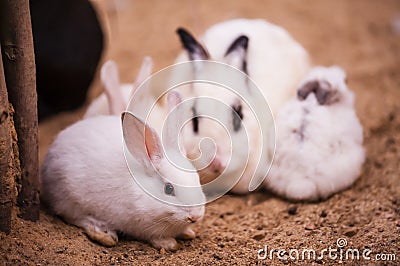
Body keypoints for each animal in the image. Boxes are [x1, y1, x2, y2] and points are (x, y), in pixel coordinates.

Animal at [40, 91, 205, 249]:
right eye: (168, 189)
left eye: (197, 179)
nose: (195, 216)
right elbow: (154, 237)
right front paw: (168, 243)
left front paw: (188, 233)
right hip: (69, 198)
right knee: (73, 217)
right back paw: (103, 231)